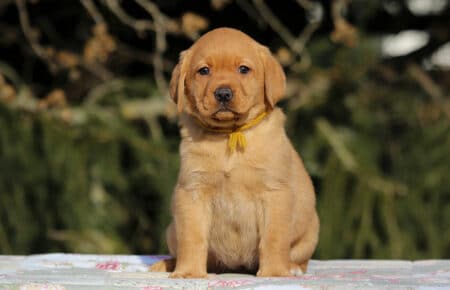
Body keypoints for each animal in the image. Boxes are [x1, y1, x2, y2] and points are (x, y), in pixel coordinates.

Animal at [152, 27, 320, 278]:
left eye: (243, 69)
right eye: (204, 71)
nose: (223, 93)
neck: (229, 135)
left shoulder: (275, 194)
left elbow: (274, 239)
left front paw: (275, 272)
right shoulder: (192, 192)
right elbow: (192, 238)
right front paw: (189, 272)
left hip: (311, 230)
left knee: (299, 256)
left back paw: (292, 267)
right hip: (172, 230)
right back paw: (167, 263)